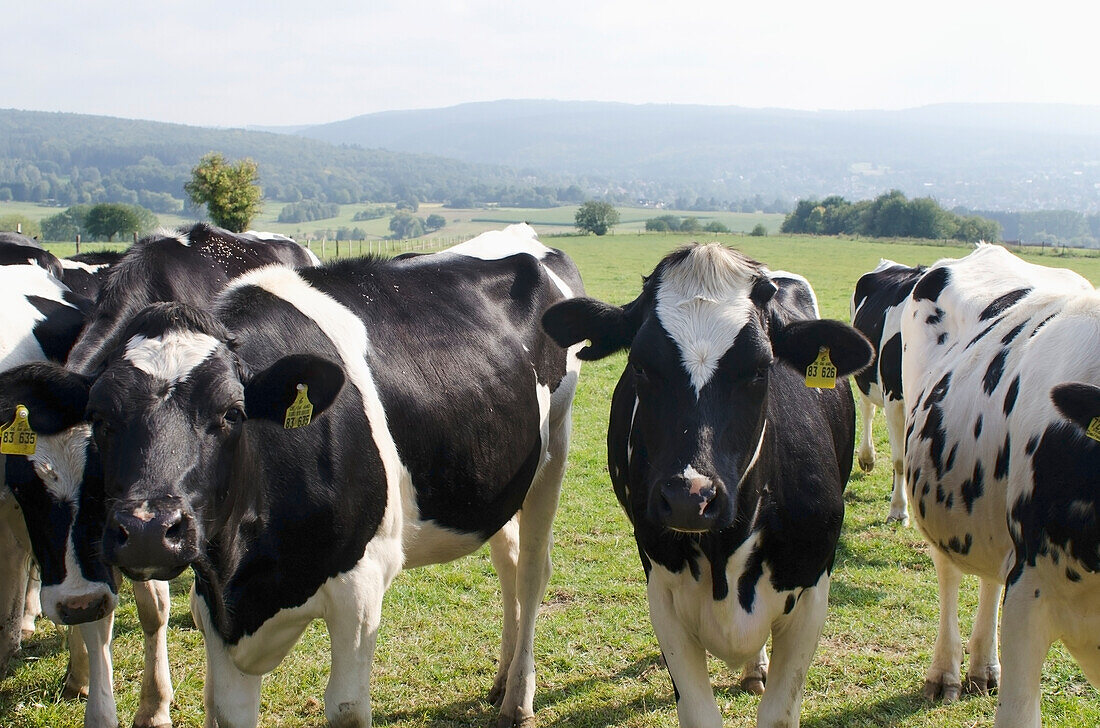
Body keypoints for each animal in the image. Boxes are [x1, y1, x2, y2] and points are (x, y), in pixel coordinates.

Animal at [19, 225, 585, 728]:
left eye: (232, 413)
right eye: (101, 418)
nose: (147, 531)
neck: (251, 576)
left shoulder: (361, 586)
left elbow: (347, 710)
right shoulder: (216, 608)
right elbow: (226, 709)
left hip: (553, 450)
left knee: (532, 571)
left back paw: (517, 698)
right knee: (507, 560)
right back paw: (501, 680)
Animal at [539, 246, 866, 728]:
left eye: (760, 368)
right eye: (640, 365)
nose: (688, 499)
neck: (724, 551)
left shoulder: (812, 592)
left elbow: (779, 714)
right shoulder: (663, 590)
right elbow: (698, 711)